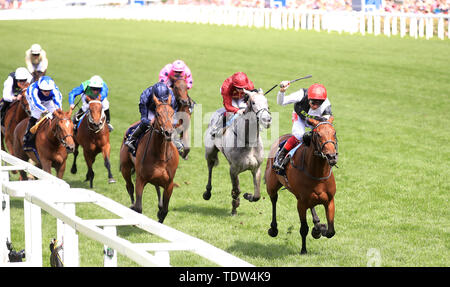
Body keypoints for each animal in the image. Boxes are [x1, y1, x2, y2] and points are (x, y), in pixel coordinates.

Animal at [119, 95, 179, 224]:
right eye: (157, 113)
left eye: (172, 113)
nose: (168, 132)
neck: (160, 155)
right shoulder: (140, 180)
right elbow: (138, 208)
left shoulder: (169, 184)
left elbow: (164, 211)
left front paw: (160, 214)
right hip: (126, 168)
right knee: (129, 187)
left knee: (157, 188)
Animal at [264, 118, 338, 255]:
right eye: (318, 134)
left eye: (334, 133)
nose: (332, 156)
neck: (317, 173)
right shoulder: (301, 203)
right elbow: (304, 228)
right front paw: (304, 250)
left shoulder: (330, 201)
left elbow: (331, 231)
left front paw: (319, 229)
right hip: (271, 185)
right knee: (274, 200)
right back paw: (273, 229)